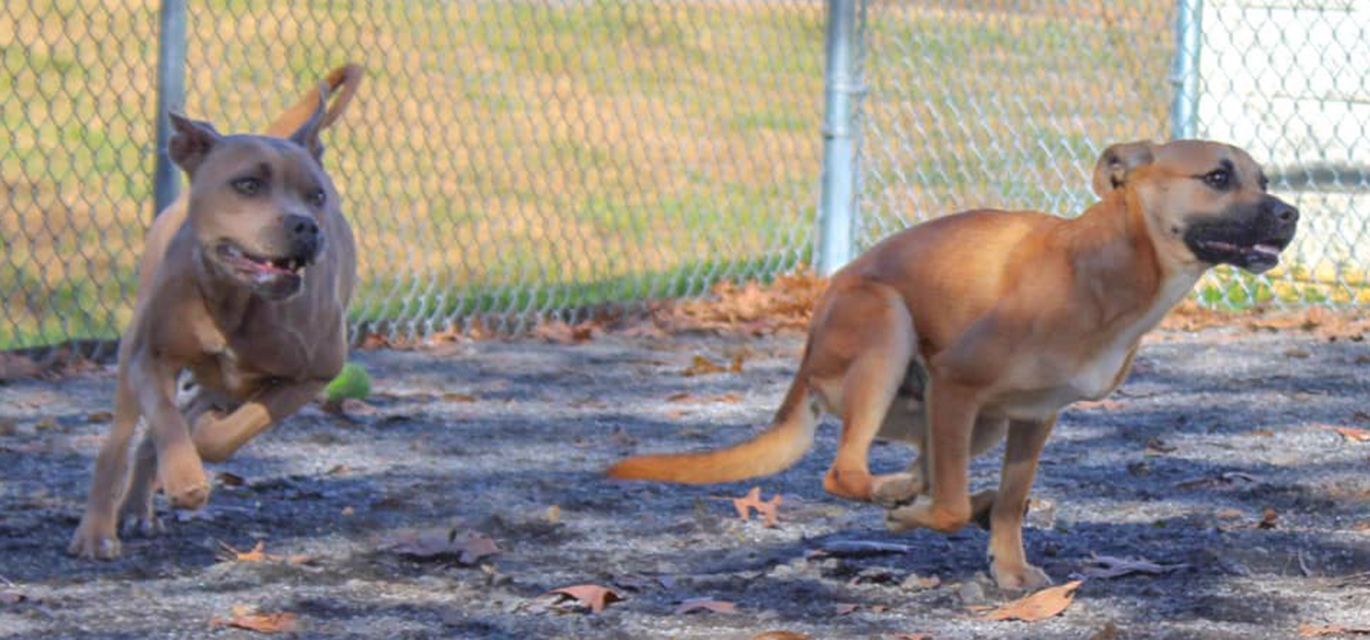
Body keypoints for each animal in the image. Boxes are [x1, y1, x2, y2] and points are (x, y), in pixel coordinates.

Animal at [71, 62, 361, 559]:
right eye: (247, 184)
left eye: (317, 196)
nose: (306, 226)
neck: (233, 300)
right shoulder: (149, 356)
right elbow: (166, 420)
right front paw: (185, 477)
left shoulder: (314, 374)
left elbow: (234, 429)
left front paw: (203, 440)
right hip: (131, 362)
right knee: (120, 441)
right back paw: (98, 532)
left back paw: (139, 505)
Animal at [616, 140, 1298, 592]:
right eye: (1218, 176)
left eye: (1264, 180)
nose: (1291, 213)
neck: (1109, 268)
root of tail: (808, 359)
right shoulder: (956, 385)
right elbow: (943, 508)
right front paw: (925, 518)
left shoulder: (1033, 418)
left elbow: (1012, 501)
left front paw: (1009, 563)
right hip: (887, 328)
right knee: (847, 473)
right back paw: (900, 500)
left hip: (972, 422)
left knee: (917, 470)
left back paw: (931, 495)